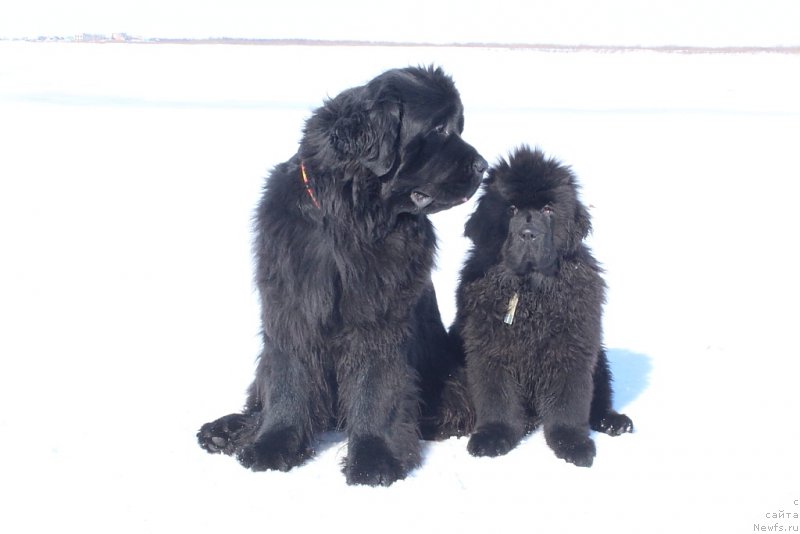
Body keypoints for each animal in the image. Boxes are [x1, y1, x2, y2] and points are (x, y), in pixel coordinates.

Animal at [198, 66, 488, 486]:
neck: (350, 220)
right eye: (438, 128)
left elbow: (375, 387)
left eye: (458, 125)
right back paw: (225, 431)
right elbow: (288, 379)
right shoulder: (291, 308)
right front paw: (272, 446)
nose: (483, 166)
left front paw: (374, 459)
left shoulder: (379, 317)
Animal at [450, 147, 632, 468]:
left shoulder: (571, 349)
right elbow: (497, 398)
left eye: (548, 209)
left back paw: (614, 421)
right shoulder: (490, 351)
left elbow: (568, 402)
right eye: (510, 209)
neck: (530, 290)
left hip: (599, 358)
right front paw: (493, 437)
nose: (528, 233)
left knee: (601, 396)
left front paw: (572, 444)